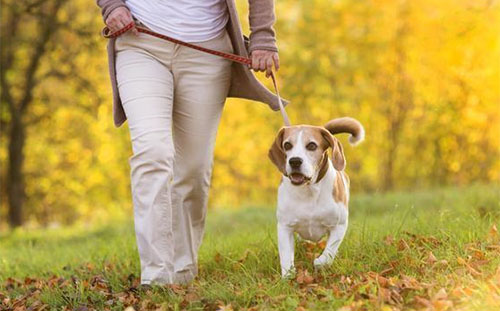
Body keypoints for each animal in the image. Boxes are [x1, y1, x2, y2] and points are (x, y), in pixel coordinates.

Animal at [270, 117, 364, 278]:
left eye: (312, 145)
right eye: (287, 145)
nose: (295, 161)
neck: (309, 190)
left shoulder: (339, 225)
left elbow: (329, 251)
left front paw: (320, 262)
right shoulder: (284, 227)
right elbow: (286, 255)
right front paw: (288, 276)